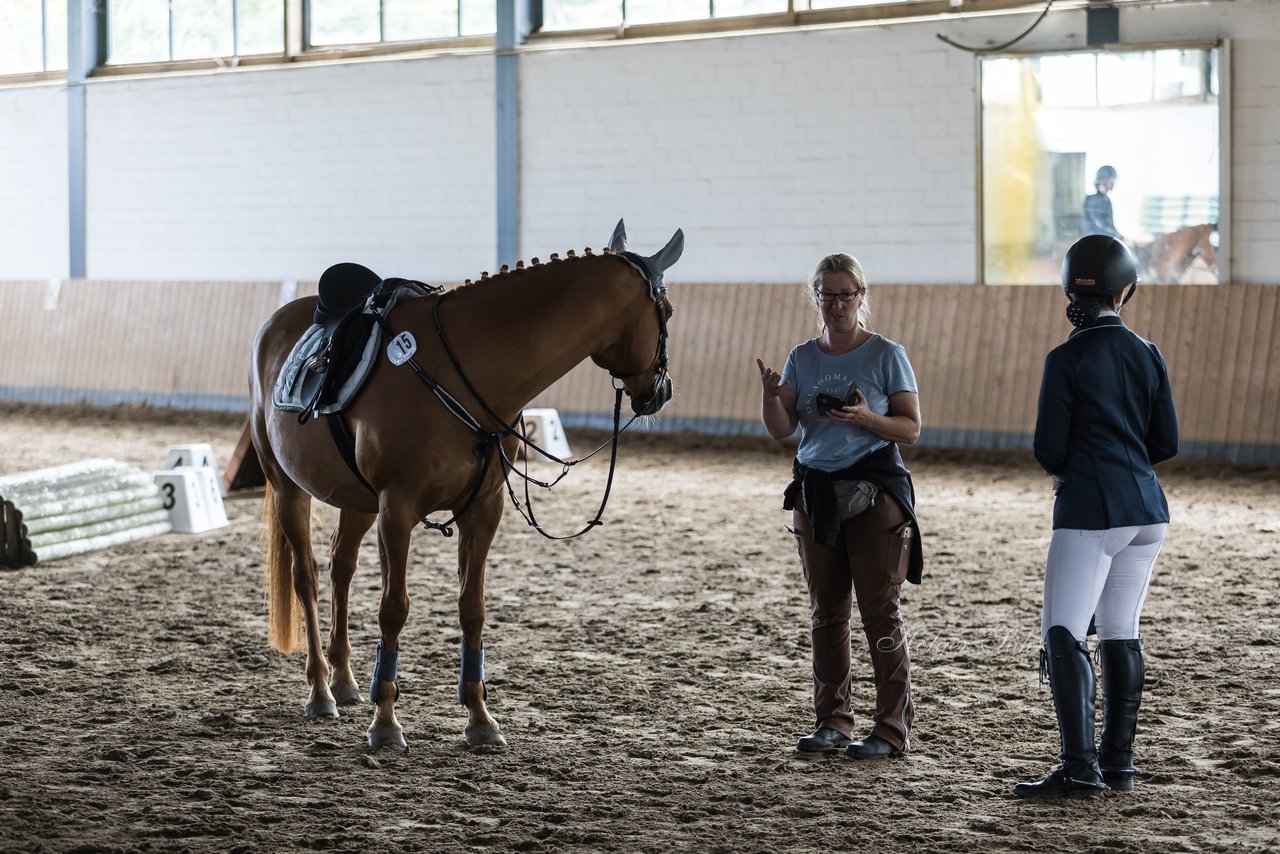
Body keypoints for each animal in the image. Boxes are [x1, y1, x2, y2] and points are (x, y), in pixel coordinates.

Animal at [250, 222, 686, 747]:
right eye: (666, 311)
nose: (661, 391)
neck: (463, 370)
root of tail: (277, 322)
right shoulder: (397, 508)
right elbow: (393, 608)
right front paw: (386, 722)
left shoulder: (483, 509)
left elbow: (471, 608)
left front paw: (480, 719)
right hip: (289, 489)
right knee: (307, 577)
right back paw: (320, 691)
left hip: (358, 502)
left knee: (341, 567)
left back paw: (345, 680)